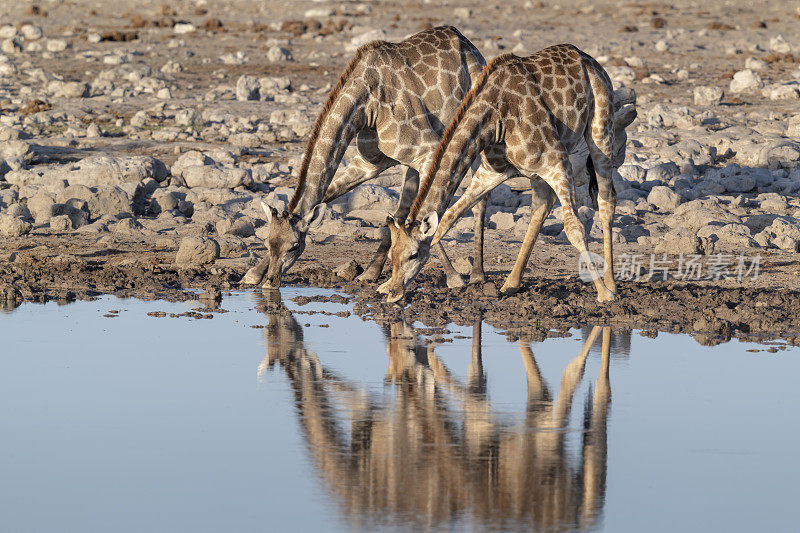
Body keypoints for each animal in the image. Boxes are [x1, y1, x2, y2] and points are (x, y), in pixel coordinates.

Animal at [241, 25, 488, 288]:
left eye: (294, 246)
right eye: (268, 243)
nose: (272, 281)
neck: (365, 104)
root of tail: (469, 45)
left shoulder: (429, 151)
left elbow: (428, 218)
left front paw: (454, 278)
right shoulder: (371, 163)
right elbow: (329, 193)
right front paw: (253, 273)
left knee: (479, 199)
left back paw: (477, 274)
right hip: (410, 162)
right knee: (402, 211)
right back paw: (371, 271)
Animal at [382, 44, 636, 304]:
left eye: (413, 255)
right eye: (391, 255)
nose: (394, 293)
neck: (494, 119)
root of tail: (590, 60)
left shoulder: (558, 163)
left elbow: (575, 229)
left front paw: (604, 294)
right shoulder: (491, 173)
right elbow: (448, 218)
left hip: (600, 131)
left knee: (606, 200)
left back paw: (611, 284)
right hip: (538, 173)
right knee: (542, 207)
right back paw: (510, 284)